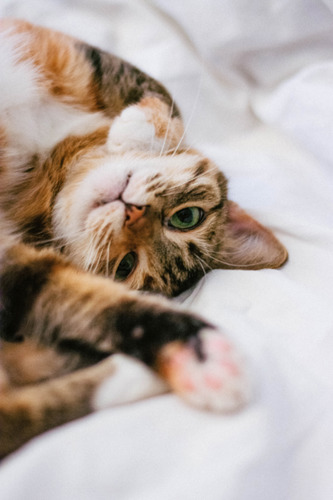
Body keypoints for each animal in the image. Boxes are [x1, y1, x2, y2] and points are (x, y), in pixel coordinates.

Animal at [0, 18, 286, 458]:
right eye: (187, 217)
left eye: (126, 266)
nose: (132, 212)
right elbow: (165, 97)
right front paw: (134, 129)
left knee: (18, 412)